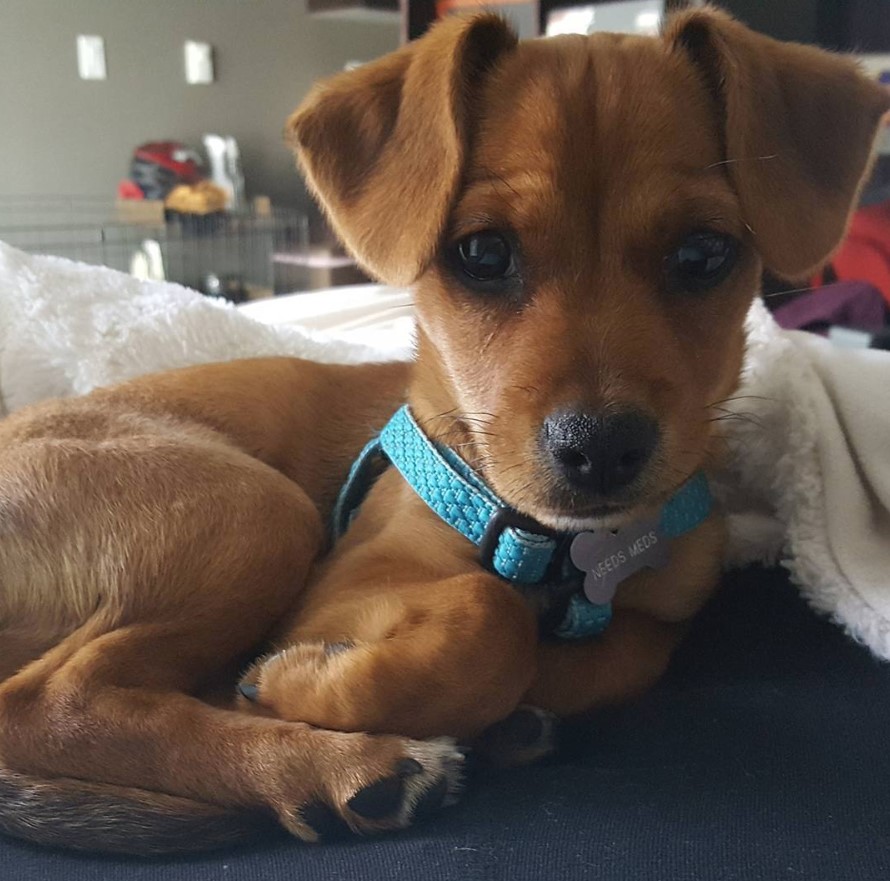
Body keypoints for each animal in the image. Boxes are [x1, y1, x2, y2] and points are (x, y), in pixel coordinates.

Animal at [1, 10, 888, 856]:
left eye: (704, 253)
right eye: (483, 252)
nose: (601, 447)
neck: (561, 551)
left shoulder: (665, 608)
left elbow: (618, 655)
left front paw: (516, 712)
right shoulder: (339, 588)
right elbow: (487, 614)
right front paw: (305, 686)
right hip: (256, 508)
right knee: (51, 700)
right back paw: (336, 766)